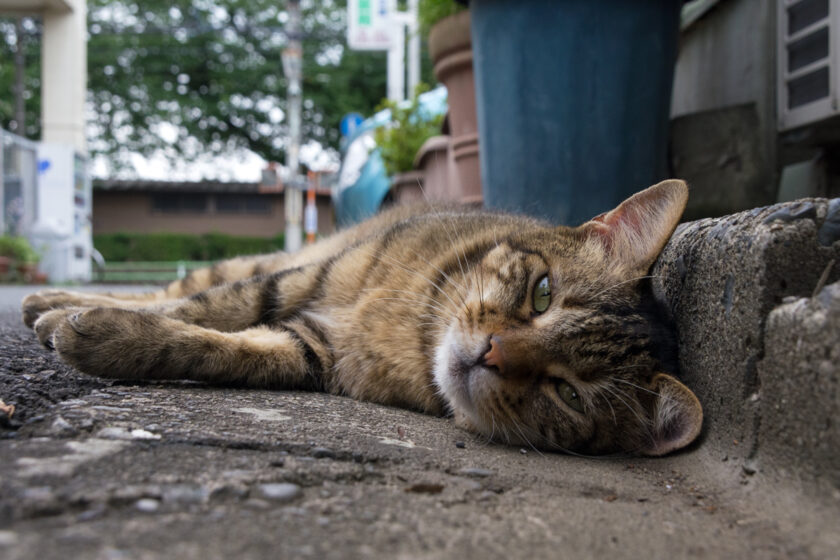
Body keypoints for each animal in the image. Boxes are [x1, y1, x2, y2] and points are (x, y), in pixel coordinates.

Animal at [21, 182, 704, 458]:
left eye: (568, 394)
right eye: (541, 295)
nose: (491, 352)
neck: (417, 334)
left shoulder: (312, 347)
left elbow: (217, 346)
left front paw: (103, 335)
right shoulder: (301, 282)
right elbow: (202, 307)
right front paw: (80, 316)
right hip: (275, 262)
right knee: (183, 284)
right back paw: (44, 297)